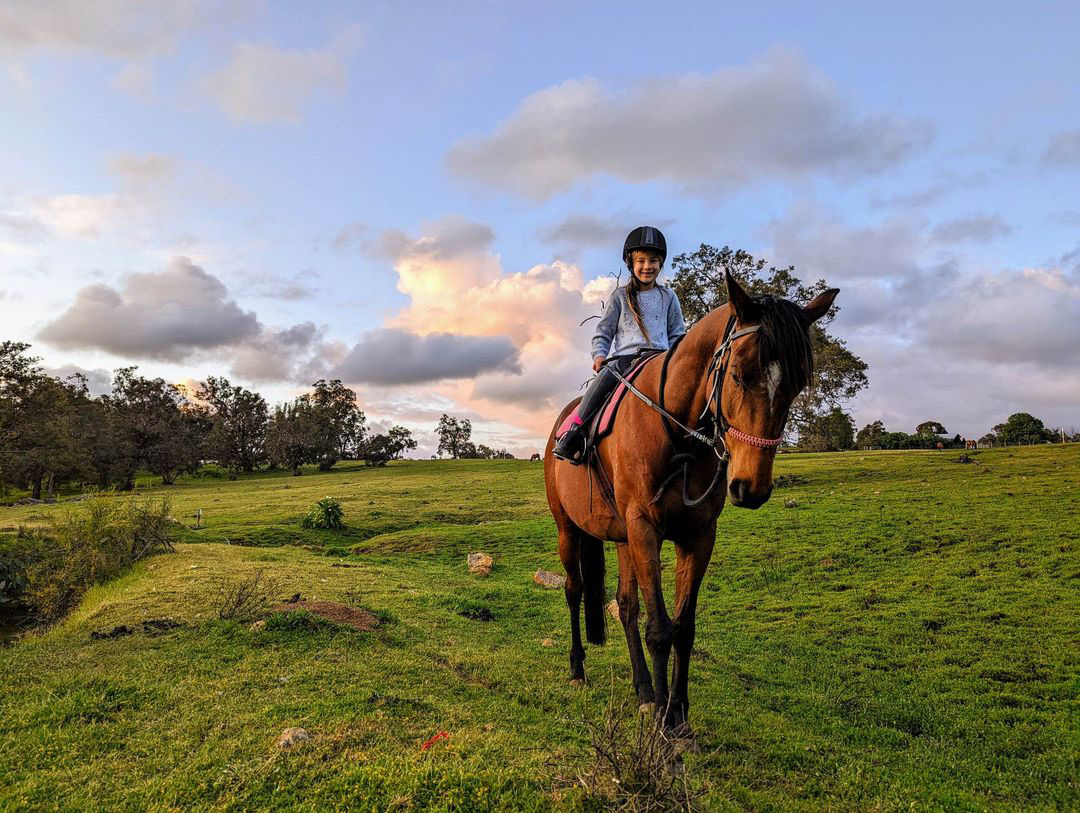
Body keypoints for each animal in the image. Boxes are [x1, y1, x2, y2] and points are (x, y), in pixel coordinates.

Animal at [543, 271, 838, 735]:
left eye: (795, 385)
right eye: (738, 375)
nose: (751, 487)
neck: (677, 433)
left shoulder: (697, 535)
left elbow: (682, 628)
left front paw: (676, 712)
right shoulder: (645, 529)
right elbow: (660, 629)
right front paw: (665, 725)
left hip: (622, 538)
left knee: (625, 606)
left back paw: (644, 691)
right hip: (568, 529)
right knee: (574, 591)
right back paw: (578, 669)